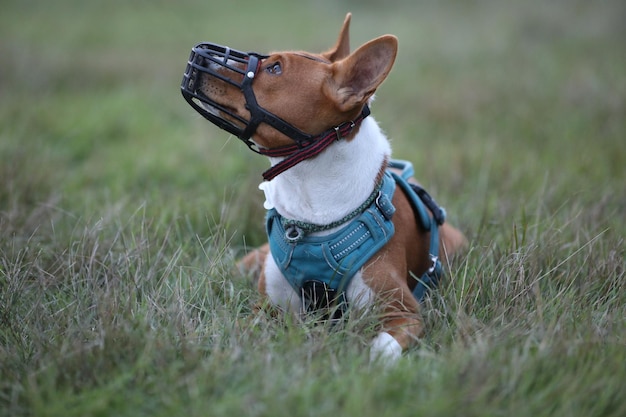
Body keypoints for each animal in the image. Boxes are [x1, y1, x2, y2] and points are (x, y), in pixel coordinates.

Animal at [179, 13, 464, 362]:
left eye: (275, 69)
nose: (199, 54)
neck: (311, 207)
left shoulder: (403, 312)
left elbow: (380, 348)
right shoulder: (266, 309)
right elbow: (239, 330)